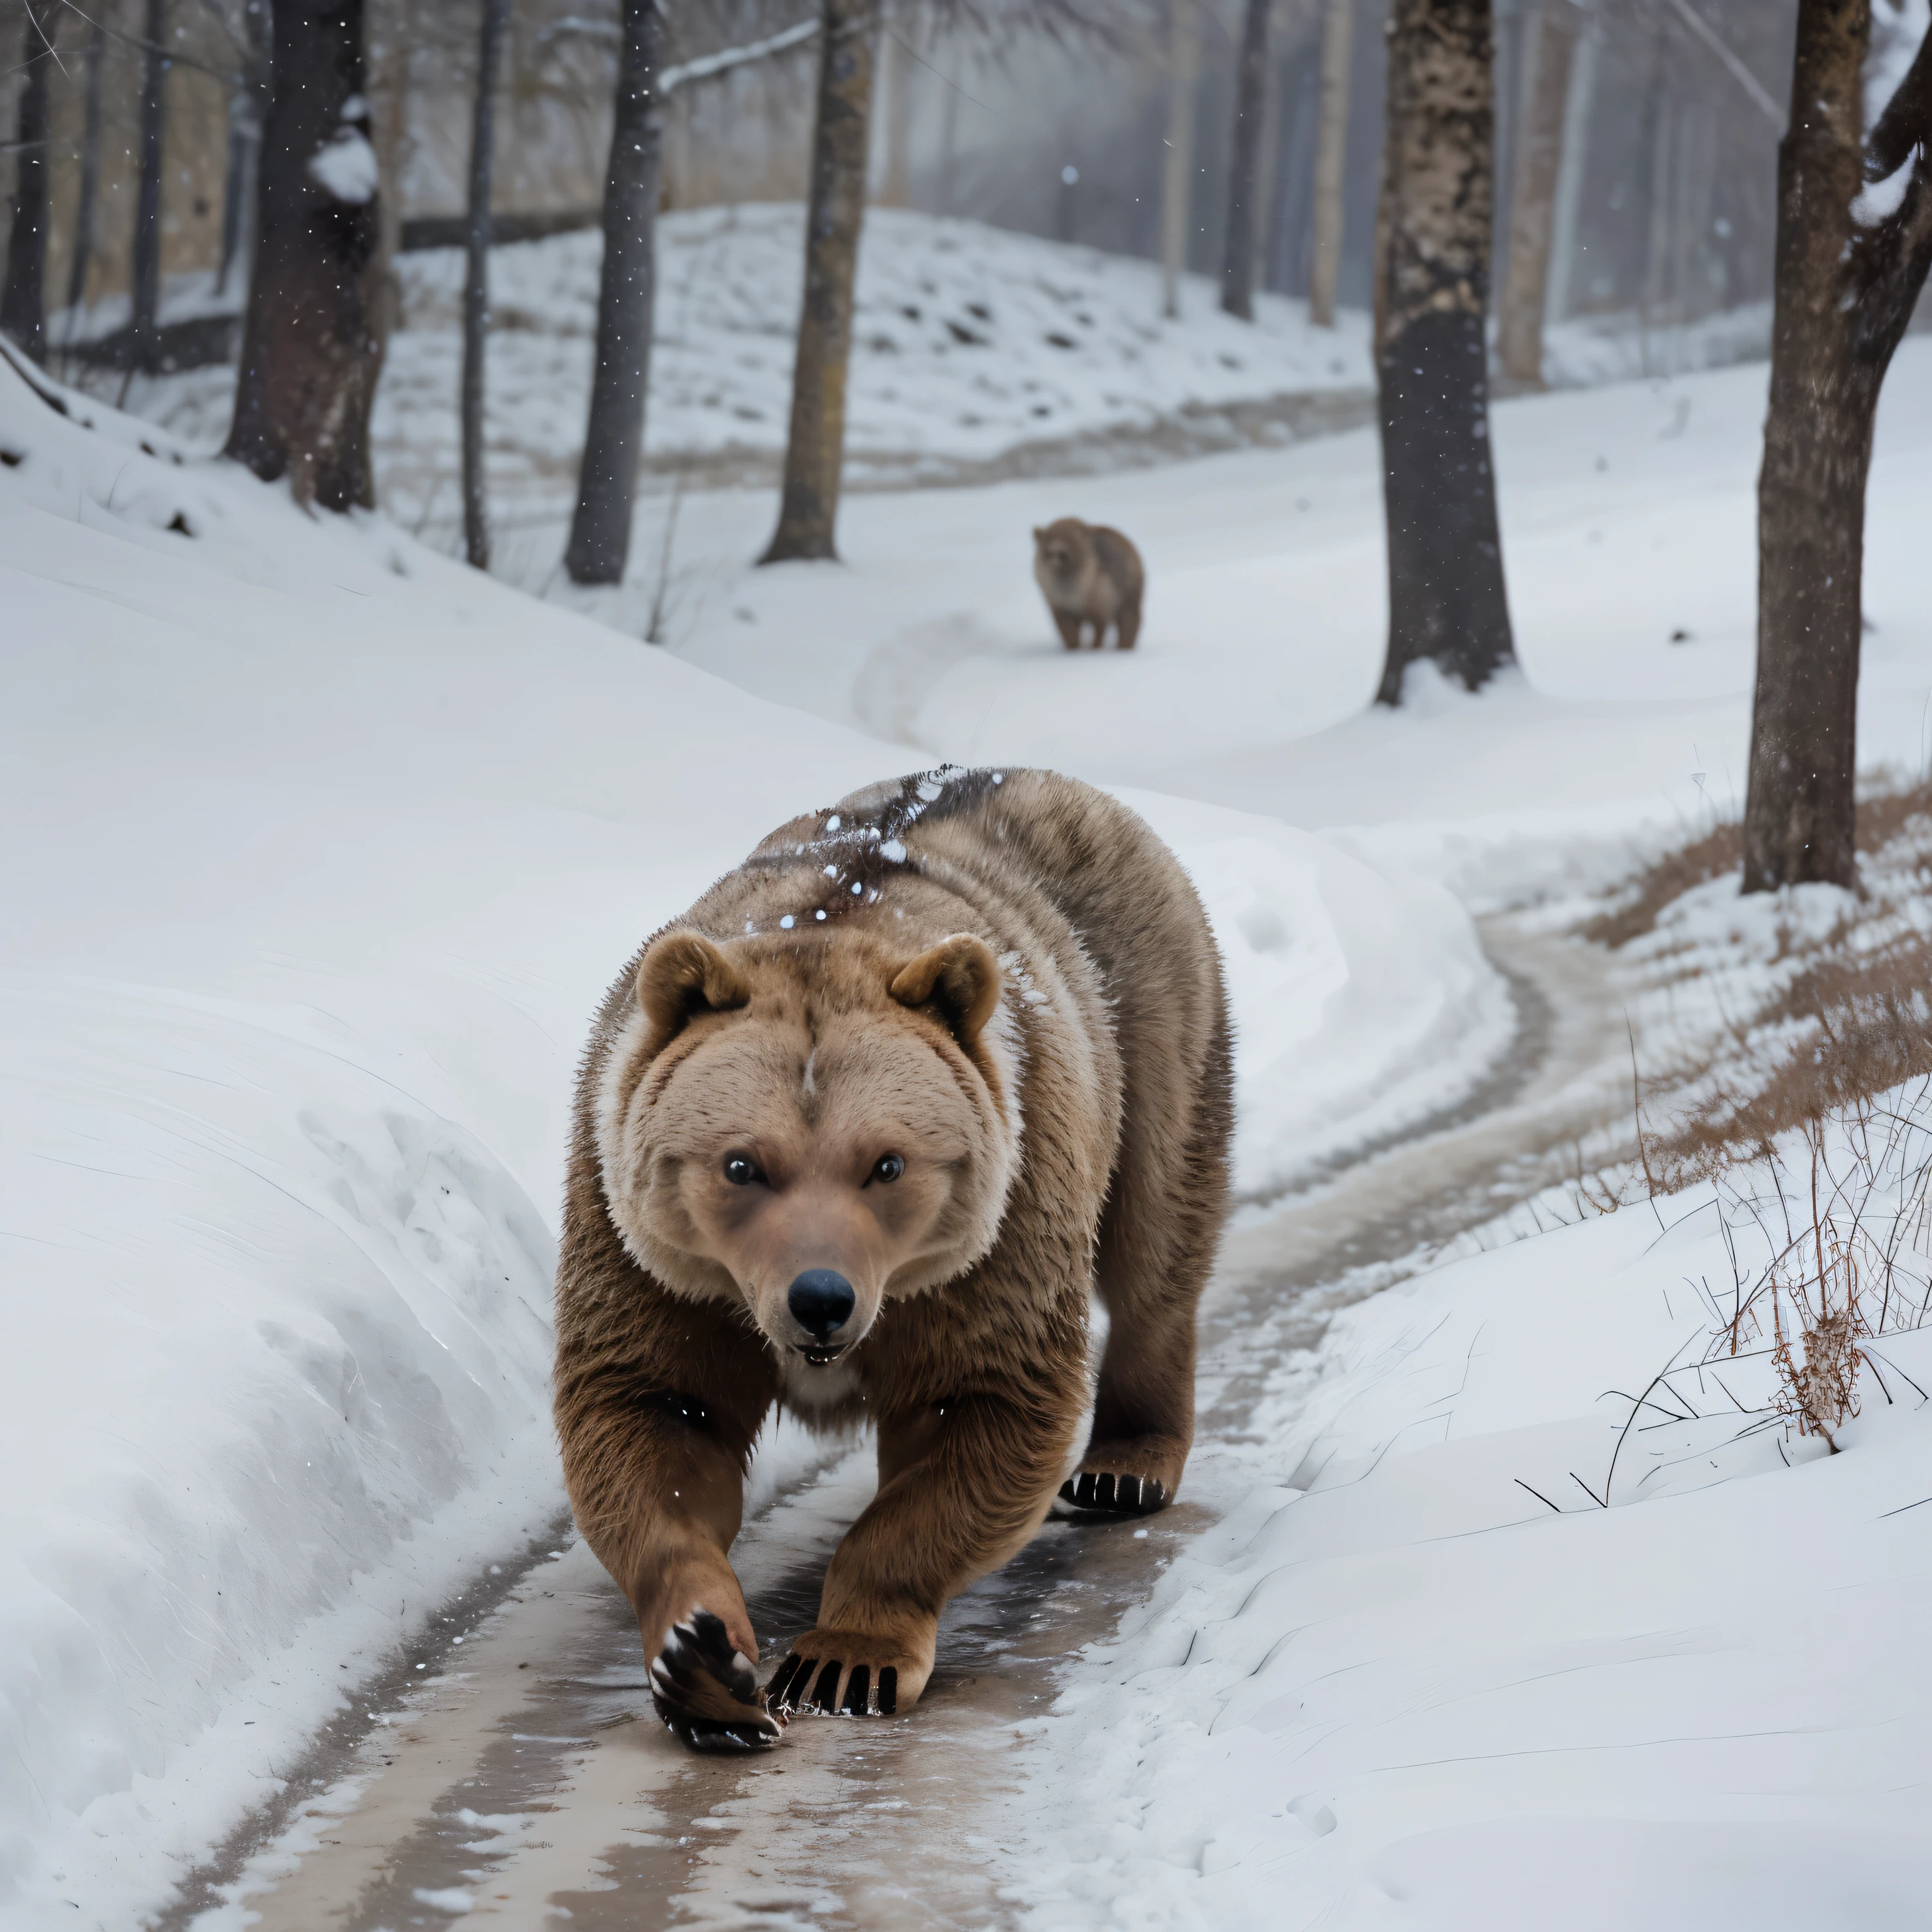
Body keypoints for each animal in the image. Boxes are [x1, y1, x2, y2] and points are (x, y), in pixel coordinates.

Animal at [552, 765, 1229, 1754]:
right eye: (741, 1164)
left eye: (887, 1162)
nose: (820, 1299)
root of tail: (1051, 778)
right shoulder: (656, 1259)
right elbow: (655, 1410)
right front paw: (704, 1663)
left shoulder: (989, 1237)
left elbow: (984, 1406)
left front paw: (843, 1659)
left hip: (1145, 1009)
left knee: (1156, 1231)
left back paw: (1126, 1464)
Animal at [1035, 518, 1136, 653]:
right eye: (1047, 550)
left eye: (1063, 553)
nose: (1057, 551)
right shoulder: (1059, 606)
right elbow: (1068, 631)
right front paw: (1074, 648)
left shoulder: (1101, 600)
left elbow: (1100, 626)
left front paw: (1093, 647)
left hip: (1129, 597)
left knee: (1129, 622)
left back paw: (1123, 646)